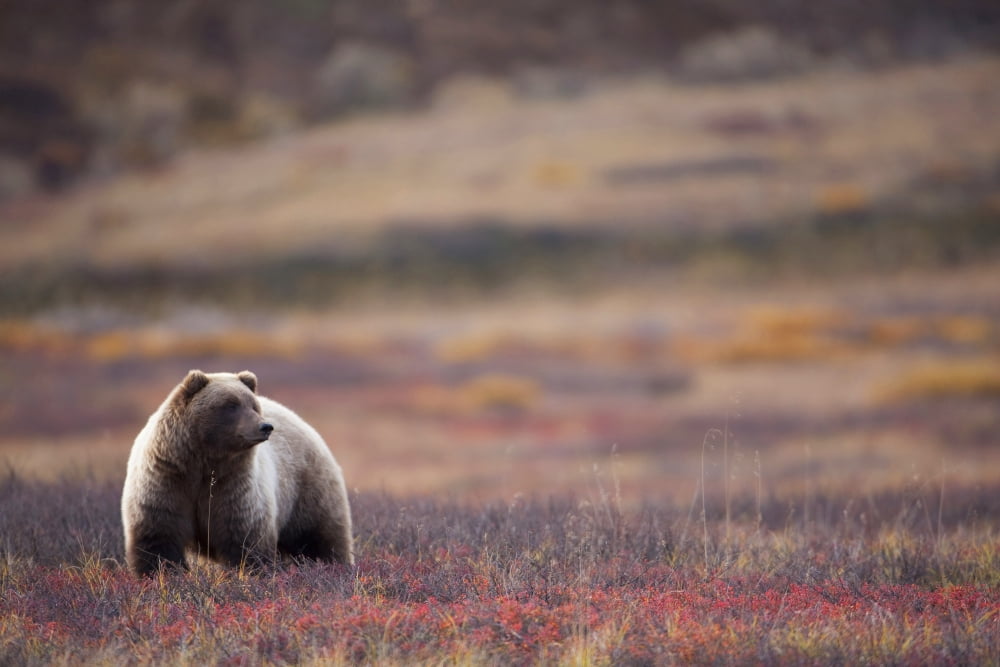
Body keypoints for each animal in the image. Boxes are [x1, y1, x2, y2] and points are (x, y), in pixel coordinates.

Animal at [121, 369, 353, 575]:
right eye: (230, 405)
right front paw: (161, 574)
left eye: (253, 405)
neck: (204, 462)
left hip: (307, 489)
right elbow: (159, 538)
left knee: (321, 537)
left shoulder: (235, 486)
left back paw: (336, 566)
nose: (265, 426)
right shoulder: (167, 480)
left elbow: (244, 538)